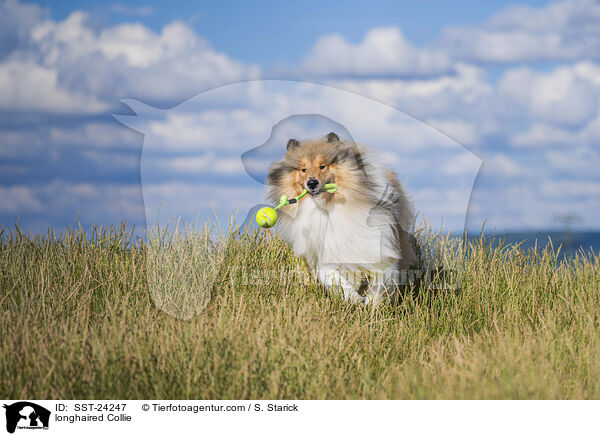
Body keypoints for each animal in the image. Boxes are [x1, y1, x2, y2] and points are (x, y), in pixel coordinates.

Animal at [268, 131, 418, 304]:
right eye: (303, 169)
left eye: (322, 166)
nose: (311, 183)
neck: (328, 208)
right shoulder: (325, 256)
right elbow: (338, 280)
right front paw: (354, 300)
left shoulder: (383, 250)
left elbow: (379, 285)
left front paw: (372, 304)